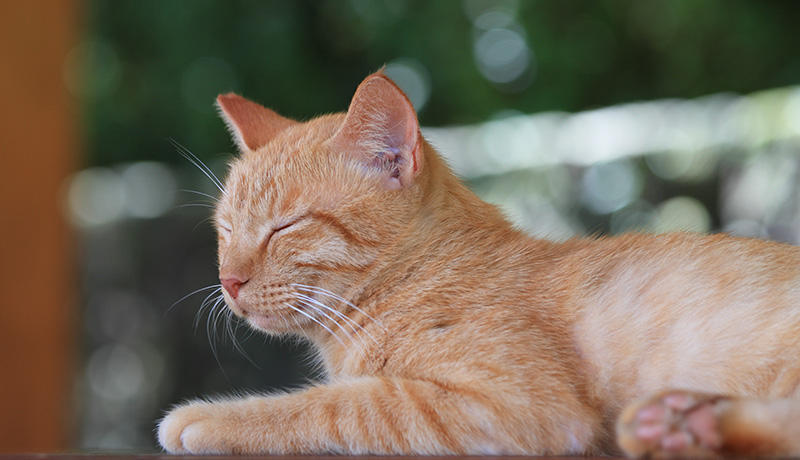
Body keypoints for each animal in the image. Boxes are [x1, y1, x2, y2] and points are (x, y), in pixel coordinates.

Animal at [156, 69, 800, 456]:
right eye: (226, 230)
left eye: (285, 227)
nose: (227, 281)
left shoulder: (518, 408)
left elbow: (337, 405)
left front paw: (209, 420)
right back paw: (680, 423)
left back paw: (686, 427)